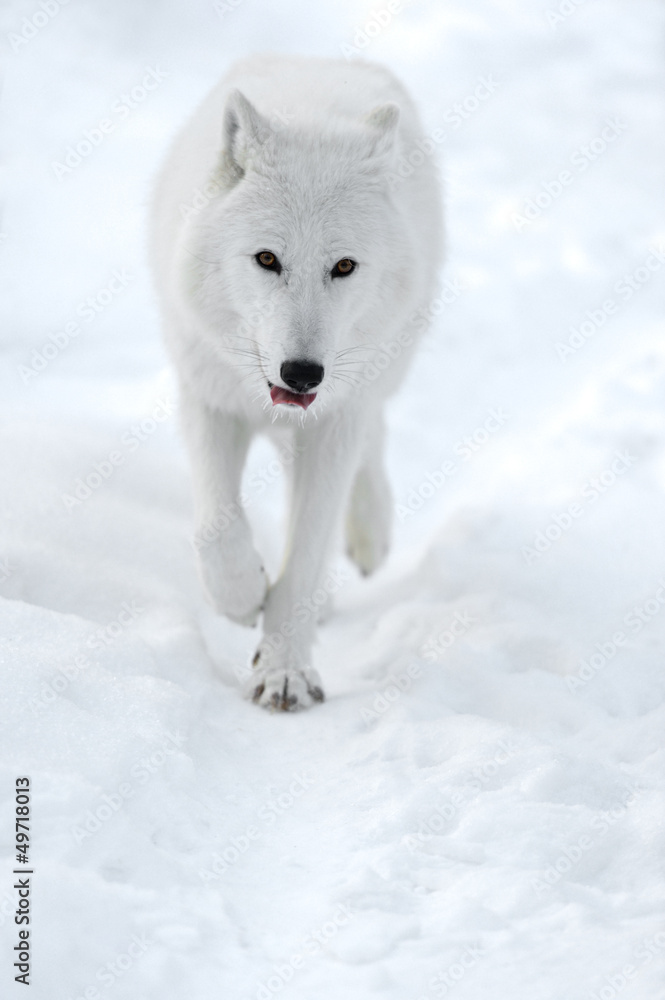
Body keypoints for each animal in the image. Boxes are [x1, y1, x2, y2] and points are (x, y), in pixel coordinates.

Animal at [150, 53, 442, 710]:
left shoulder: (332, 418)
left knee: (368, 445)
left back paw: (369, 536)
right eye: (267, 259)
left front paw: (285, 670)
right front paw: (241, 596)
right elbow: (216, 527)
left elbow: (307, 550)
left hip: (375, 373)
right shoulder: (208, 396)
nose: (302, 373)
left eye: (343, 266)